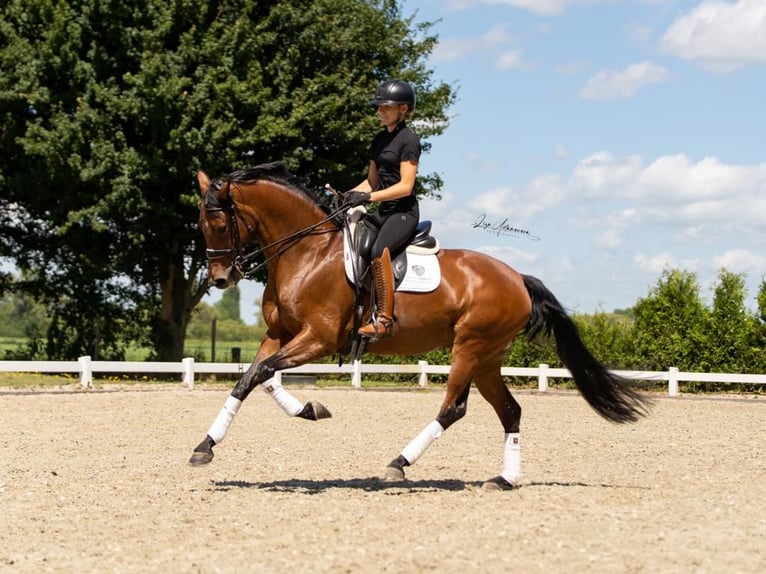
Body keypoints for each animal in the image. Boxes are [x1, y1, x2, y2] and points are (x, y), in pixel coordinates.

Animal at [189, 161, 652, 490]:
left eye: (218, 223)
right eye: (202, 224)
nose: (220, 279)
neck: (307, 252)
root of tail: (518, 278)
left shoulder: (317, 339)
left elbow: (262, 373)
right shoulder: (279, 335)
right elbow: (252, 378)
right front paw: (208, 446)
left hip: (469, 347)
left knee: (453, 408)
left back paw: (399, 463)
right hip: (488, 358)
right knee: (510, 410)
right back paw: (504, 479)